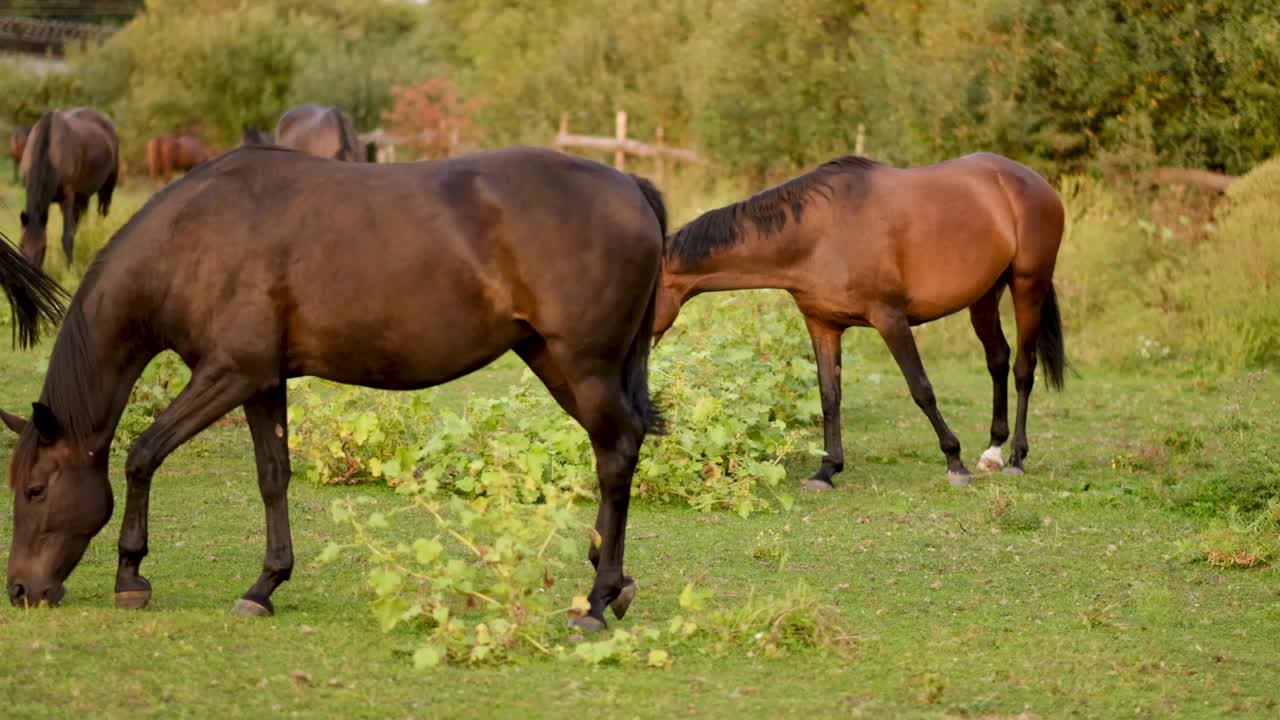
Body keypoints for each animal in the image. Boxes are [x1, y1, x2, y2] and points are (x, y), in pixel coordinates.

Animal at [7, 146, 670, 627]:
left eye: (36, 490)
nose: (19, 589)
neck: (194, 239)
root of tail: (630, 186)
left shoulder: (230, 373)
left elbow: (143, 455)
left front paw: (130, 577)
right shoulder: (261, 383)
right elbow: (272, 477)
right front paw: (265, 585)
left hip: (583, 366)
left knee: (616, 455)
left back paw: (597, 600)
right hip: (554, 361)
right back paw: (613, 581)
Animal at [19, 109, 119, 269]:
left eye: (43, 248)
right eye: (21, 244)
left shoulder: (67, 198)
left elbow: (67, 237)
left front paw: (69, 269)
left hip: (107, 187)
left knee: (102, 213)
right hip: (83, 195)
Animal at [655, 151, 1064, 486]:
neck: (818, 234)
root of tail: (1035, 182)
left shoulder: (891, 319)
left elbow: (921, 389)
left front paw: (954, 461)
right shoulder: (822, 325)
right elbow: (829, 395)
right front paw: (826, 470)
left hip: (1028, 286)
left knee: (1024, 368)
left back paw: (1016, 457)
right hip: (983, 297)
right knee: (997, 359)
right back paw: (993, 451)